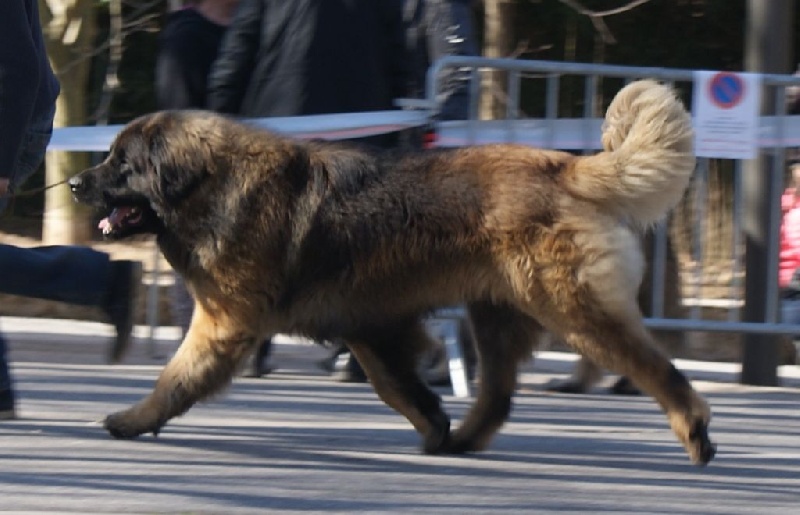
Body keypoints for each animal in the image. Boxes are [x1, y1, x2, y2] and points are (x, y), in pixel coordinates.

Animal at [69, 81, 716, 468]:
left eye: (121, 164)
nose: (74, 182)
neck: (214, 186)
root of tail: (564, 166)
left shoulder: (225, 322)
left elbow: (176, 377)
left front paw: (133, 420)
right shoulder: (370, 322)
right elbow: (395, 383)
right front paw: (433, 424)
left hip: (574, 309)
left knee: (657, 369)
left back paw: (695, 432)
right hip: (497, 316)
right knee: (498, 394)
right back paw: (462, 442)